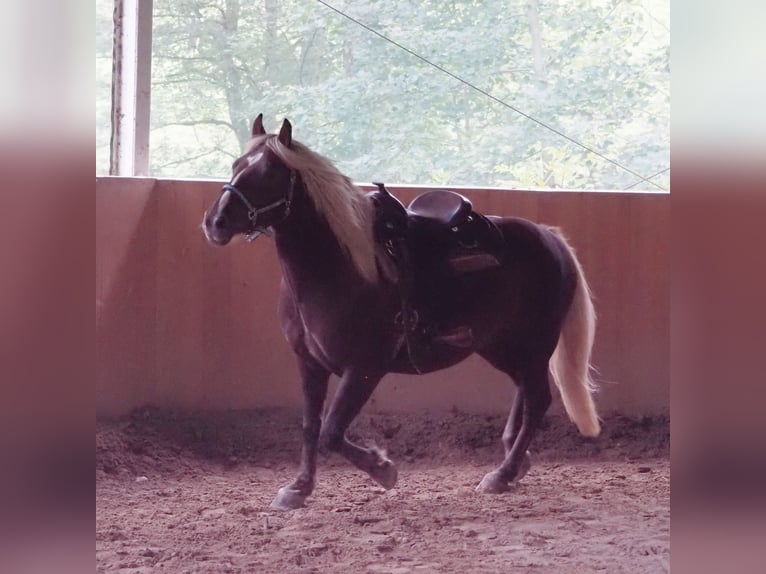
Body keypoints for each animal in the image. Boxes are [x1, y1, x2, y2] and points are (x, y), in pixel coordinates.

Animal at [202, 115, 600, 510]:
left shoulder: (364, 368)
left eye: (269, 173)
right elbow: (311, 426)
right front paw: (299, 487)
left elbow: (332, 431)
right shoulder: (309, 363)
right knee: (525, 393)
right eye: (236, 165)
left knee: (538, 399)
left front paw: (382, 469)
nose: (215, 222)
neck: (339, 268)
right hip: (501, 345)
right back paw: (514, 461)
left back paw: (503, 474)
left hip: (533, 344)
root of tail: (550, 237)